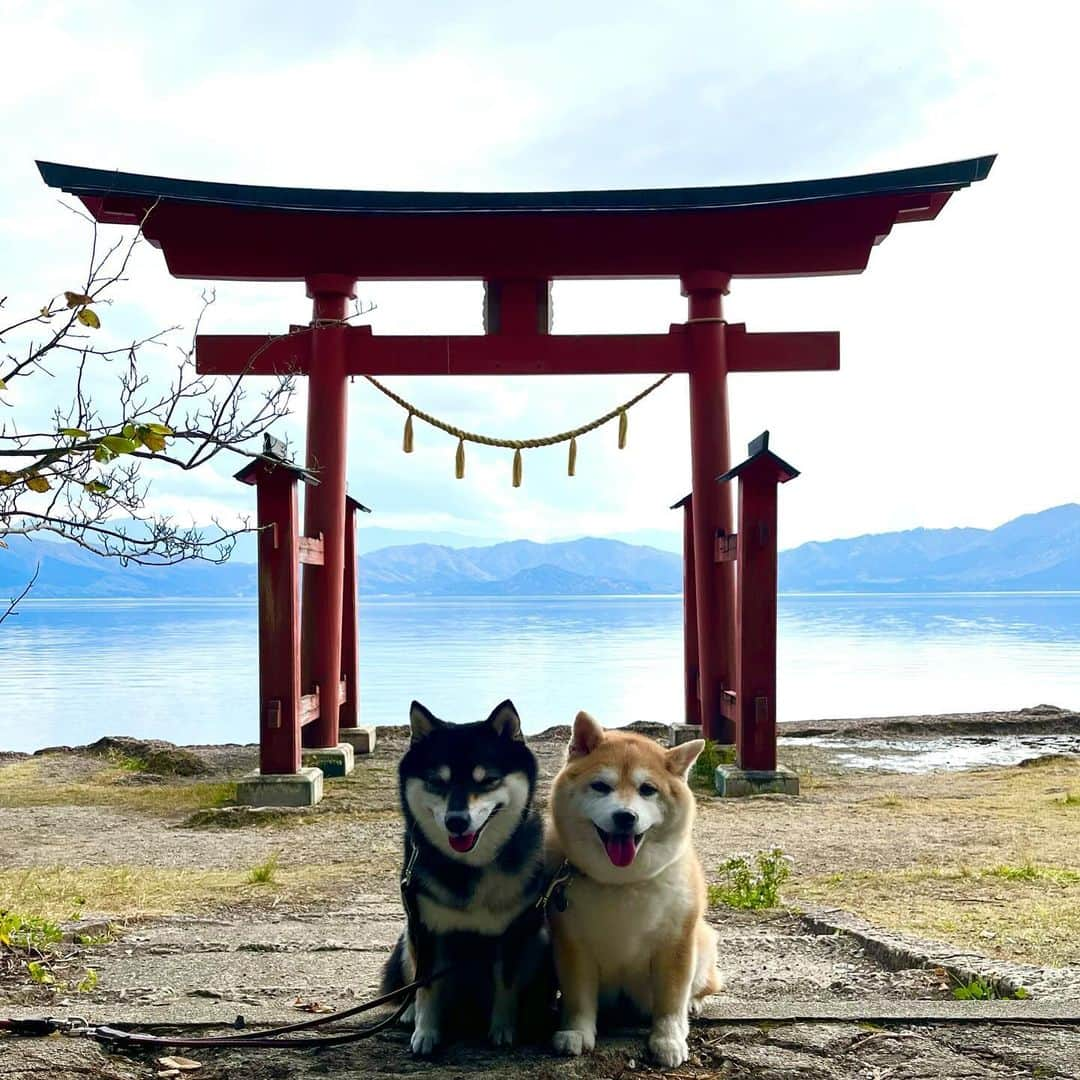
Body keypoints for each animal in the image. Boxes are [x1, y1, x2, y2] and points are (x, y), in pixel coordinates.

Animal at [548, 704, 717, 1067]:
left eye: (647, 790)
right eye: (600, 786)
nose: (625, 816)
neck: (621, 882)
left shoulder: (676, 944)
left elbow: (671, 1002)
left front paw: (669, 1039)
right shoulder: (573, 944)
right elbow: (578, 999)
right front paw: (576, 1033)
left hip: (704, 941)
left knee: (704, 986)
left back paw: (694, 1004)